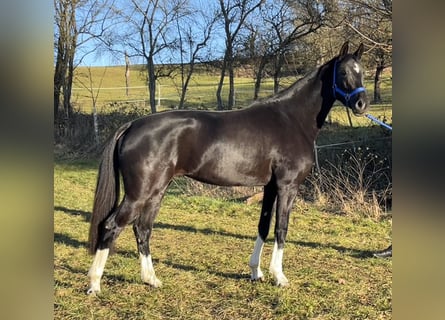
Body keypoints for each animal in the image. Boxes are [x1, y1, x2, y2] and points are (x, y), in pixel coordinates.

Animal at [86, 41, 368, 294]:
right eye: (343, 72)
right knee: (112, 226)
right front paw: (279, 276)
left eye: (362, 71)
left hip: (157, 191)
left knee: (142, 229)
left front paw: (256, 272)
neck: (291, 119)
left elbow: (263, 226)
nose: (361, 104)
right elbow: (281, 228)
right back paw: (94, 284)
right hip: (139, 193)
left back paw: (151, 279)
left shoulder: (269, 187)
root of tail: (132, 125)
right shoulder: (287, 186)